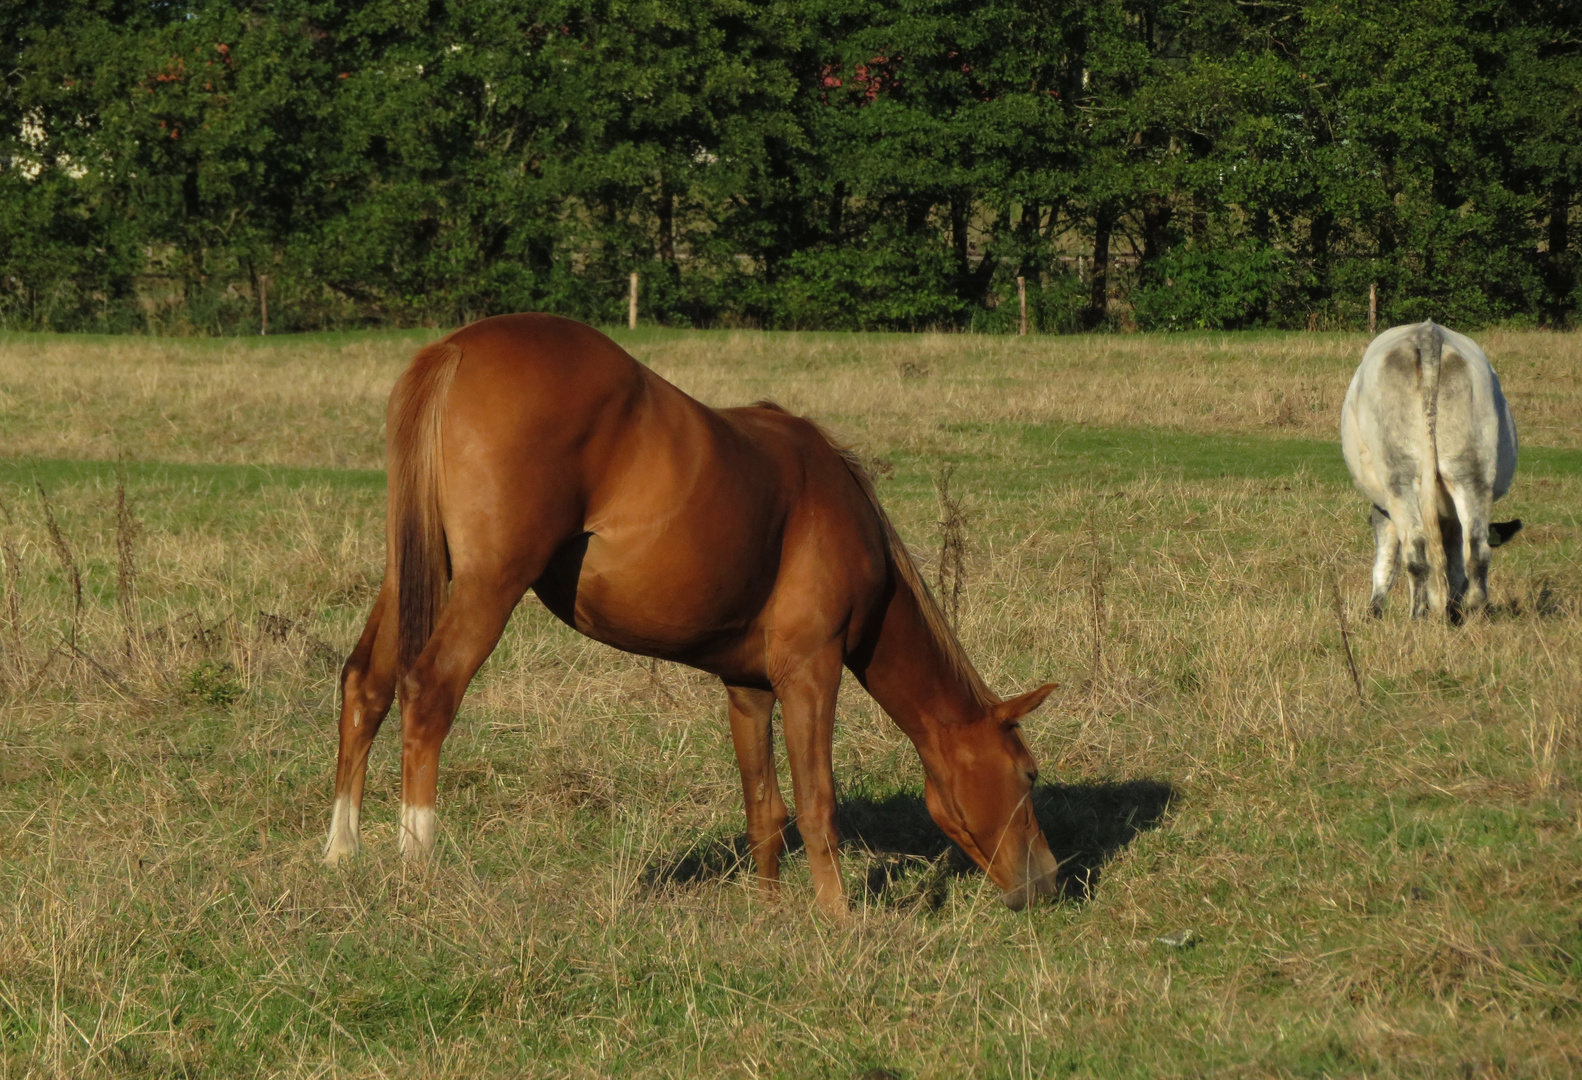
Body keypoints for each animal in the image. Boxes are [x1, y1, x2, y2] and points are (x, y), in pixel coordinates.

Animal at [324, 313, 1063, 910]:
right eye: (1028, 776)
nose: (1050, 881)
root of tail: (453, 349)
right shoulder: (812, 672)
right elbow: (816, 804)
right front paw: (837, 919)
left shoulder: (748, 688)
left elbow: (765, 809)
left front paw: (767, 914)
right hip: (486, 586)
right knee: (429, 692)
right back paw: (417, 863)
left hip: (410, 569)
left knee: (366, 685)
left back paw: (341, 852)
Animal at [1341, 320, 1512, 616]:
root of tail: (1428, 331)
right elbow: (1454, 562)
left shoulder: (1381, 506)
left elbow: (1385, 561)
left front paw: (1374, 611)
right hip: (1472, 471)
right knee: (1476, 550)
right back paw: (1478, 611)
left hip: (1399, 477)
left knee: (1415, 550)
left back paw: (1417, 616)